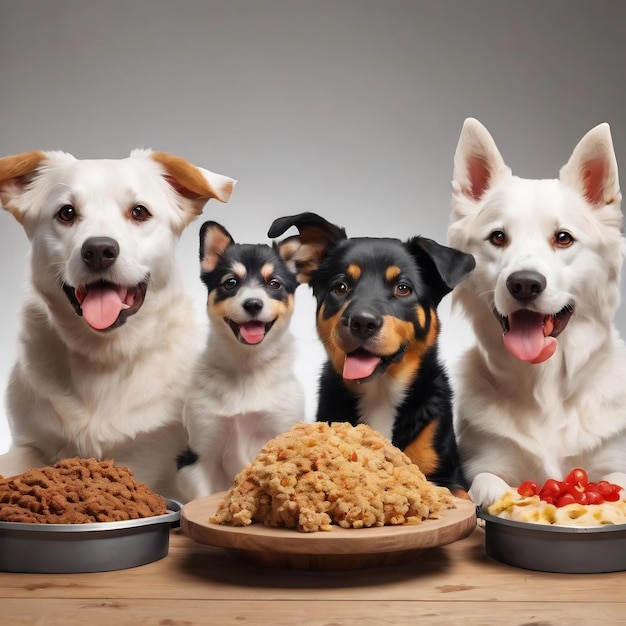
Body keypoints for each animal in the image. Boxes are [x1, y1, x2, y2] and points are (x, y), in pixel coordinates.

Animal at [446, 118, 624, 508]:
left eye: (563, 238)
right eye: (498, 237)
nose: (525, 284)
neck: (545, 386)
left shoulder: (615, 464)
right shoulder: (484, 464)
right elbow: (489, 484)